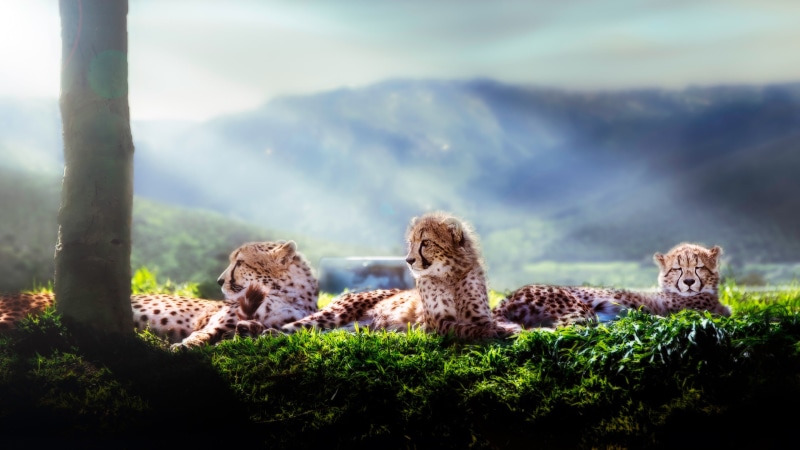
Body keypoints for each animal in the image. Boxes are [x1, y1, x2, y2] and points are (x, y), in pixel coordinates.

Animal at [280, 212, 511, 339]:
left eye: (426, 243)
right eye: (411, 243)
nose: (408, 260)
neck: (450, 277)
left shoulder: (479, 315)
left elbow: (486, 323)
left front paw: (504, 328)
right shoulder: (434, 323)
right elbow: (461, 327)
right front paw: (490, 332)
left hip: (352, 328)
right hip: (335, 315)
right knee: (291, 327)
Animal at [492, 242, 731, 330]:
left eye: (699, 267)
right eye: (677, 269)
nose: (689, 282)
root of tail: (508, 298)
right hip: (581, 311)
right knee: (566, 330)